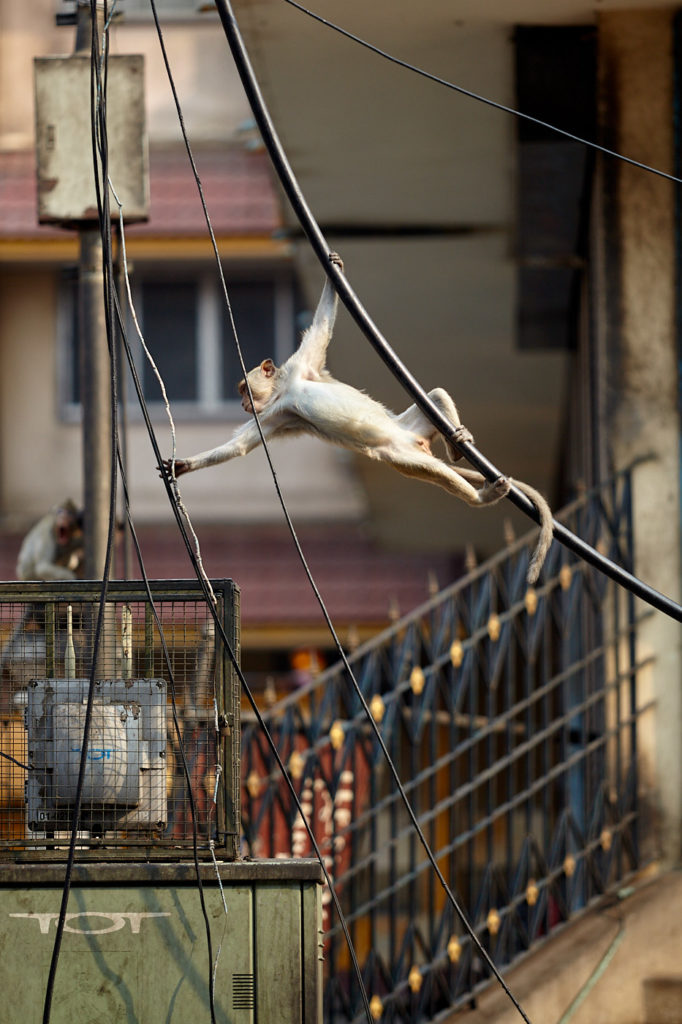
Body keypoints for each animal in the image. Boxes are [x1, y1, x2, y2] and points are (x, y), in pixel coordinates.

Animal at [164, 253, 552, 585]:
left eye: (246, 389)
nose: (245, 402)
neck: (284, 390)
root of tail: (417, 443)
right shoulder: (279, 415)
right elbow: (240, 446)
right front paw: (183, 465)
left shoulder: (298, 371)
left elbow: (320, 328)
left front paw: (334, 272)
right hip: (400, 453)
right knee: (432, 446)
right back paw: (466, 472)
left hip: (405, 434)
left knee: (436, 399)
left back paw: (461, 450)